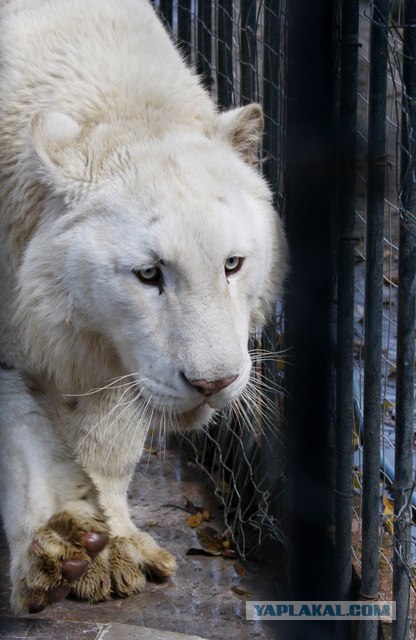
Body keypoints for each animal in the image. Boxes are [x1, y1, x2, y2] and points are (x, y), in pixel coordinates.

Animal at [0, 0, 288, 616]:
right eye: (149, 274)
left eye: (232, 264)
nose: (213, 383)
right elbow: (25, 439)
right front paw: (58, 546)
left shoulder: (119, 362)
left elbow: (108, 447)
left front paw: (112, 550)